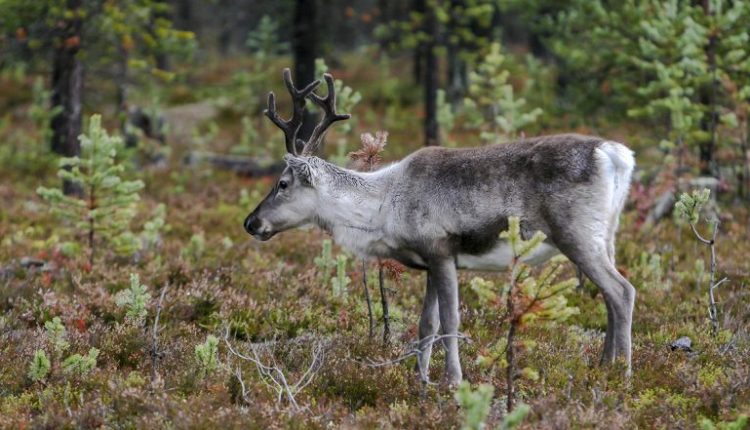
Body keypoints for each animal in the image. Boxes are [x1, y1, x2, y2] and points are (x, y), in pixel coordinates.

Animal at [243, 68, 636, 385]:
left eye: (282, 183)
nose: (250, 222)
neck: (385, 207)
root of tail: (617, 155)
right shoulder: (429, 262)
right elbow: (426, 325)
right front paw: (421, 380)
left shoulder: (442, 251)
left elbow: (450, 321)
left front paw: (452, 381)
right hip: (606, 235)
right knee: (610, 295)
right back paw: (604, 366)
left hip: (577, 234)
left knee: (622, 291)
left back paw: (622, 374)